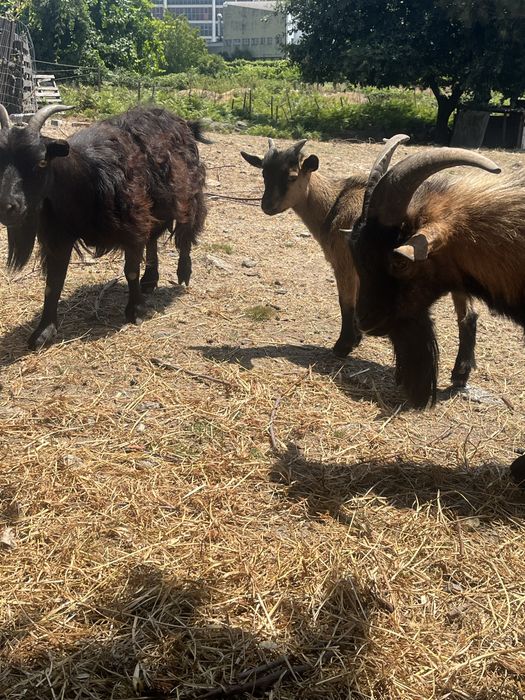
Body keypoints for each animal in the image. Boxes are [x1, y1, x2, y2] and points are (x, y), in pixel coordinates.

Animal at [0, 103, 207, 349]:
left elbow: (131, 271)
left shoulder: (133, 225)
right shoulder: (59, 237)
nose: (7, 206)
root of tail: (182, 122)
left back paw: (183, 273)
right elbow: (53, 283)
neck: (84, 182)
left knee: (186, 231)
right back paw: (150, 279)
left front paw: (136, 311)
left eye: (41, 161)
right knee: (153, 239)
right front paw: (44, 332)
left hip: (188, 193)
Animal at [241, 139, 479, 388]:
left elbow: (346, 303)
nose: (267, 206)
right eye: (264, 173)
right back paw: (460, 374)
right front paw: (355, 339)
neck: (333, 204)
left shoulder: (343, 262)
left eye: (292, 176)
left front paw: (343, 346)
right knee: (468, 316)